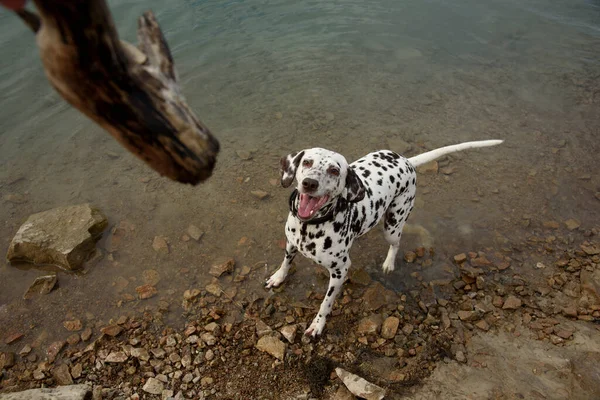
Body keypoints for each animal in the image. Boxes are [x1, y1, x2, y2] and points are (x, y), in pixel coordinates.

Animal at [266, 139, 502, 336]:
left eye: (334, 170)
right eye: (307, 162)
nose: (309, 183)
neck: (310, 226)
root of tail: (407, 161)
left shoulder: (340, 271)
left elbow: (325, 303)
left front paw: (317, 324)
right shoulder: (291, 244)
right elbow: (286, 262)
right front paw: (278, 276)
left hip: (392, 225)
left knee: (396, 244)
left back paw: (389, 263)